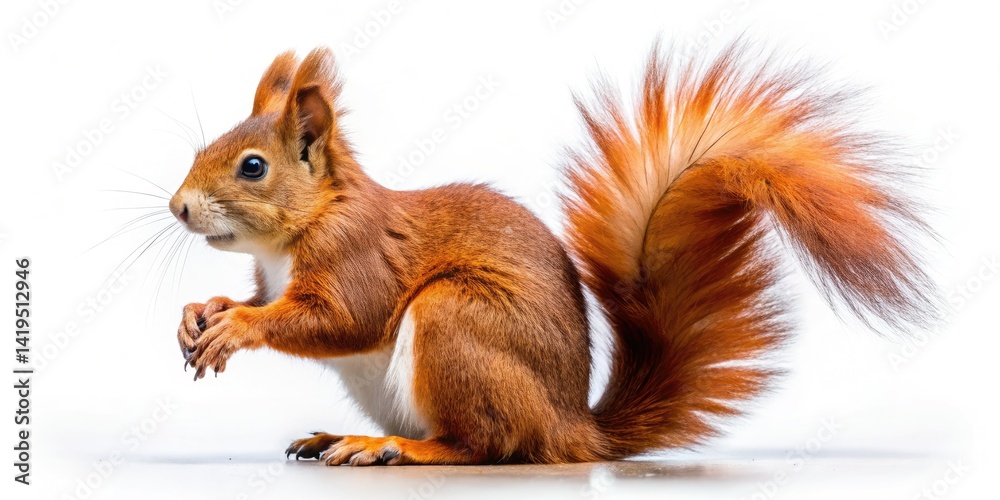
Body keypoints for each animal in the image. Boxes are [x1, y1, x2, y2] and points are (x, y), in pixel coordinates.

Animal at [169, 42, 938, 466]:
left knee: (483, 446)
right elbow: (260, 299)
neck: (304, 226)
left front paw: (235, 329)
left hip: (456, 323)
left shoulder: (355, 256)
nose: (177, 207)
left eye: (252, 168)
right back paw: (335, 435)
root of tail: (572, 426)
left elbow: (339, 319)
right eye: (206, 148)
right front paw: (202, 312)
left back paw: (394, 447)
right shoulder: (272, 276)